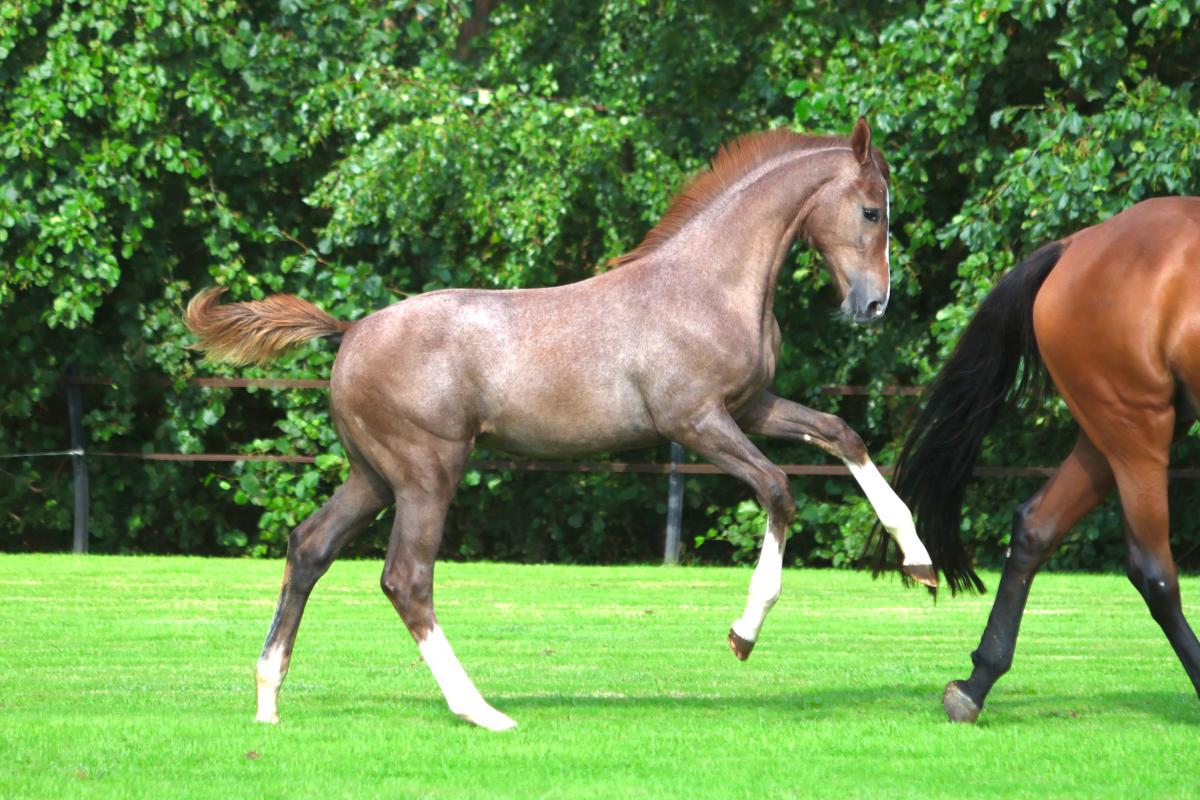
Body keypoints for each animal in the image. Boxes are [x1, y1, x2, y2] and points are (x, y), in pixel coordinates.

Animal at [185, 117, 936, 731]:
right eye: (872, 210)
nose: (873, 305)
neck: (708, 285)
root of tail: (351, 333)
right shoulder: (694, 422)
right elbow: (779, 488)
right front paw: (743, 633)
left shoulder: (752, 406)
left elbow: (841, 433)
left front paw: (921, 563)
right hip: (427, 474)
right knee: (406, 578)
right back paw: (480, 710)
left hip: (373, 475)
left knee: (310, 547)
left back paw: (268, 697)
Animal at [882, 196, 1200, 723]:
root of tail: (1080, 243)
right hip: (1134, 426)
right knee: (1153, 571)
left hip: (1109, 433)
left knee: (1036, 528)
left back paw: (974, 685)